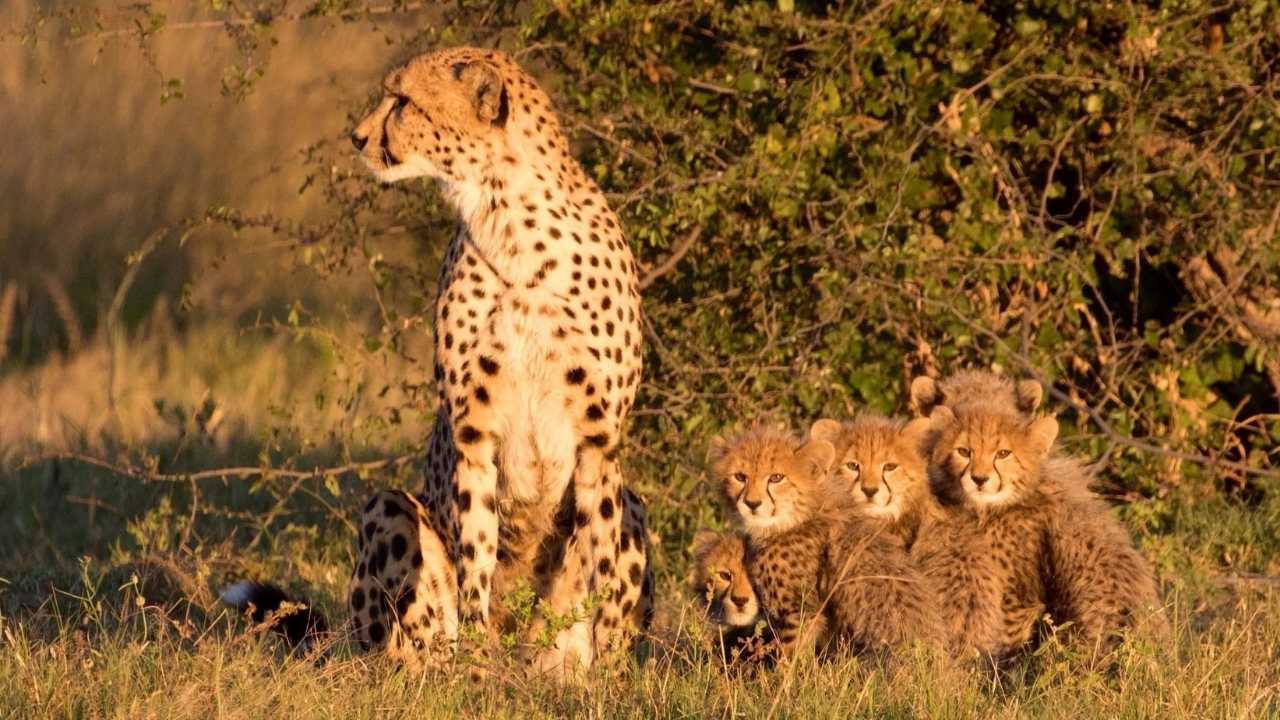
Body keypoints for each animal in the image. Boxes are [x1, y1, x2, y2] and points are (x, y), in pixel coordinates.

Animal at [350, 46, 646, 675]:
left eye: (402, 100)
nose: (357, 137)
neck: (508, 217)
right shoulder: (473, 425)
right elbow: (477, 552)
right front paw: (477, 664)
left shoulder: (599, 435)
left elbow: (601, 570)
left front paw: (605, 672)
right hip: (389, 513)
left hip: (630, 499)